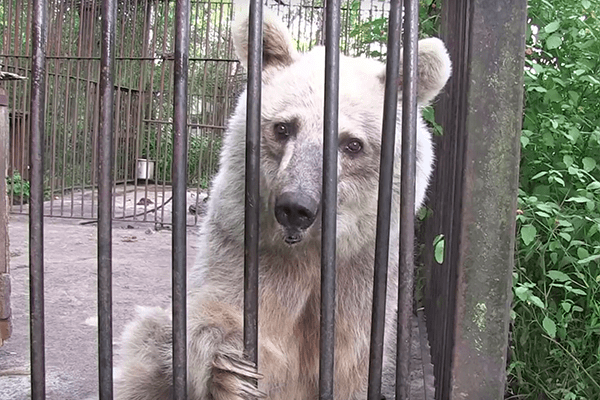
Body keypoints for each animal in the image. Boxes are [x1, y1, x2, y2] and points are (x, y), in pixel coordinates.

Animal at [115, 5, 450, 400]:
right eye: (283, 127)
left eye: (353, 144)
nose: (295, 208)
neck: (311, 251)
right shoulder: (245, 246)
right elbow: (209, 319)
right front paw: (230, 369)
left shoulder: (363, 273)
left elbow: (350, 361)